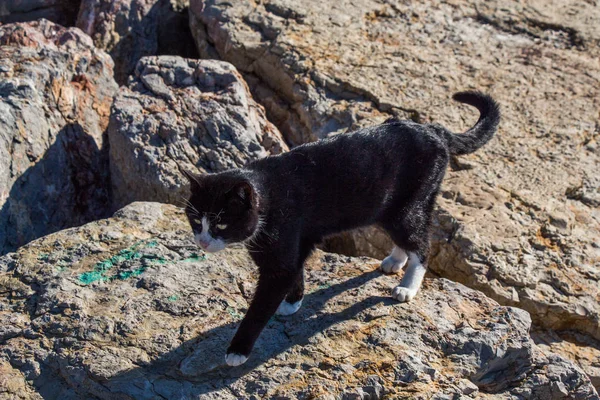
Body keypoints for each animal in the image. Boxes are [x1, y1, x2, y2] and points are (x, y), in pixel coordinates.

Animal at [183, 90, 502, 366]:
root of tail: (434, 130)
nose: (202, 242)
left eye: (221, 223)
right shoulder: (296, 241)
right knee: (409, 237)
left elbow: (264, 301)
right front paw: (293, 303)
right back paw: (394, 261)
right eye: (196, 221)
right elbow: (296, 270)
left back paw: (407, 286)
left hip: (407, 205)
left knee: (422, 244)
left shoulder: (283, 241)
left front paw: (238, 350)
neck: (268, 197)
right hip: (392, 207)